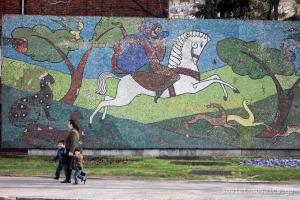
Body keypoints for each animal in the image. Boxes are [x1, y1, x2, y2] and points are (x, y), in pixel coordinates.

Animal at [88, 30, 239, 126]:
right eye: (199, 44)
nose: (196, 59)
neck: (185, 67)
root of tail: (122, 78)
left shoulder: (196, 85)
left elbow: (216, 76)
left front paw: (227, 95)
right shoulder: (193, 88)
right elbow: (215, 79)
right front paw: (235, 90)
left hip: (123, 97)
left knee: (106, 99)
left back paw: (102, 118)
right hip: (125, 99)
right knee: (102, 102)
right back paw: (90, 122)